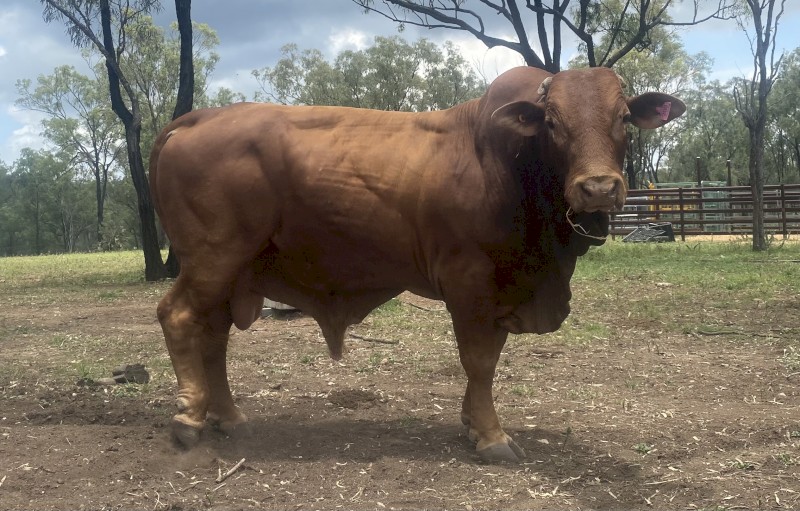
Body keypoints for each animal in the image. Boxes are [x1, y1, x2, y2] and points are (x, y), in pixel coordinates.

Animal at [149, 66, 685, 462]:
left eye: (623, 117)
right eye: (552, 121)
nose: (598, 188)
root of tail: (196, 118)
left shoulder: (501, 289)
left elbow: (489, 359)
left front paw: (471, 423)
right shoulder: (471, 284)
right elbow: (479, 361)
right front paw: (491, 436)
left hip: (230, 272)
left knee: (214, 335)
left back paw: (229, 417)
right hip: (212, 258)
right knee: (178, 316)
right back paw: (188, 419)